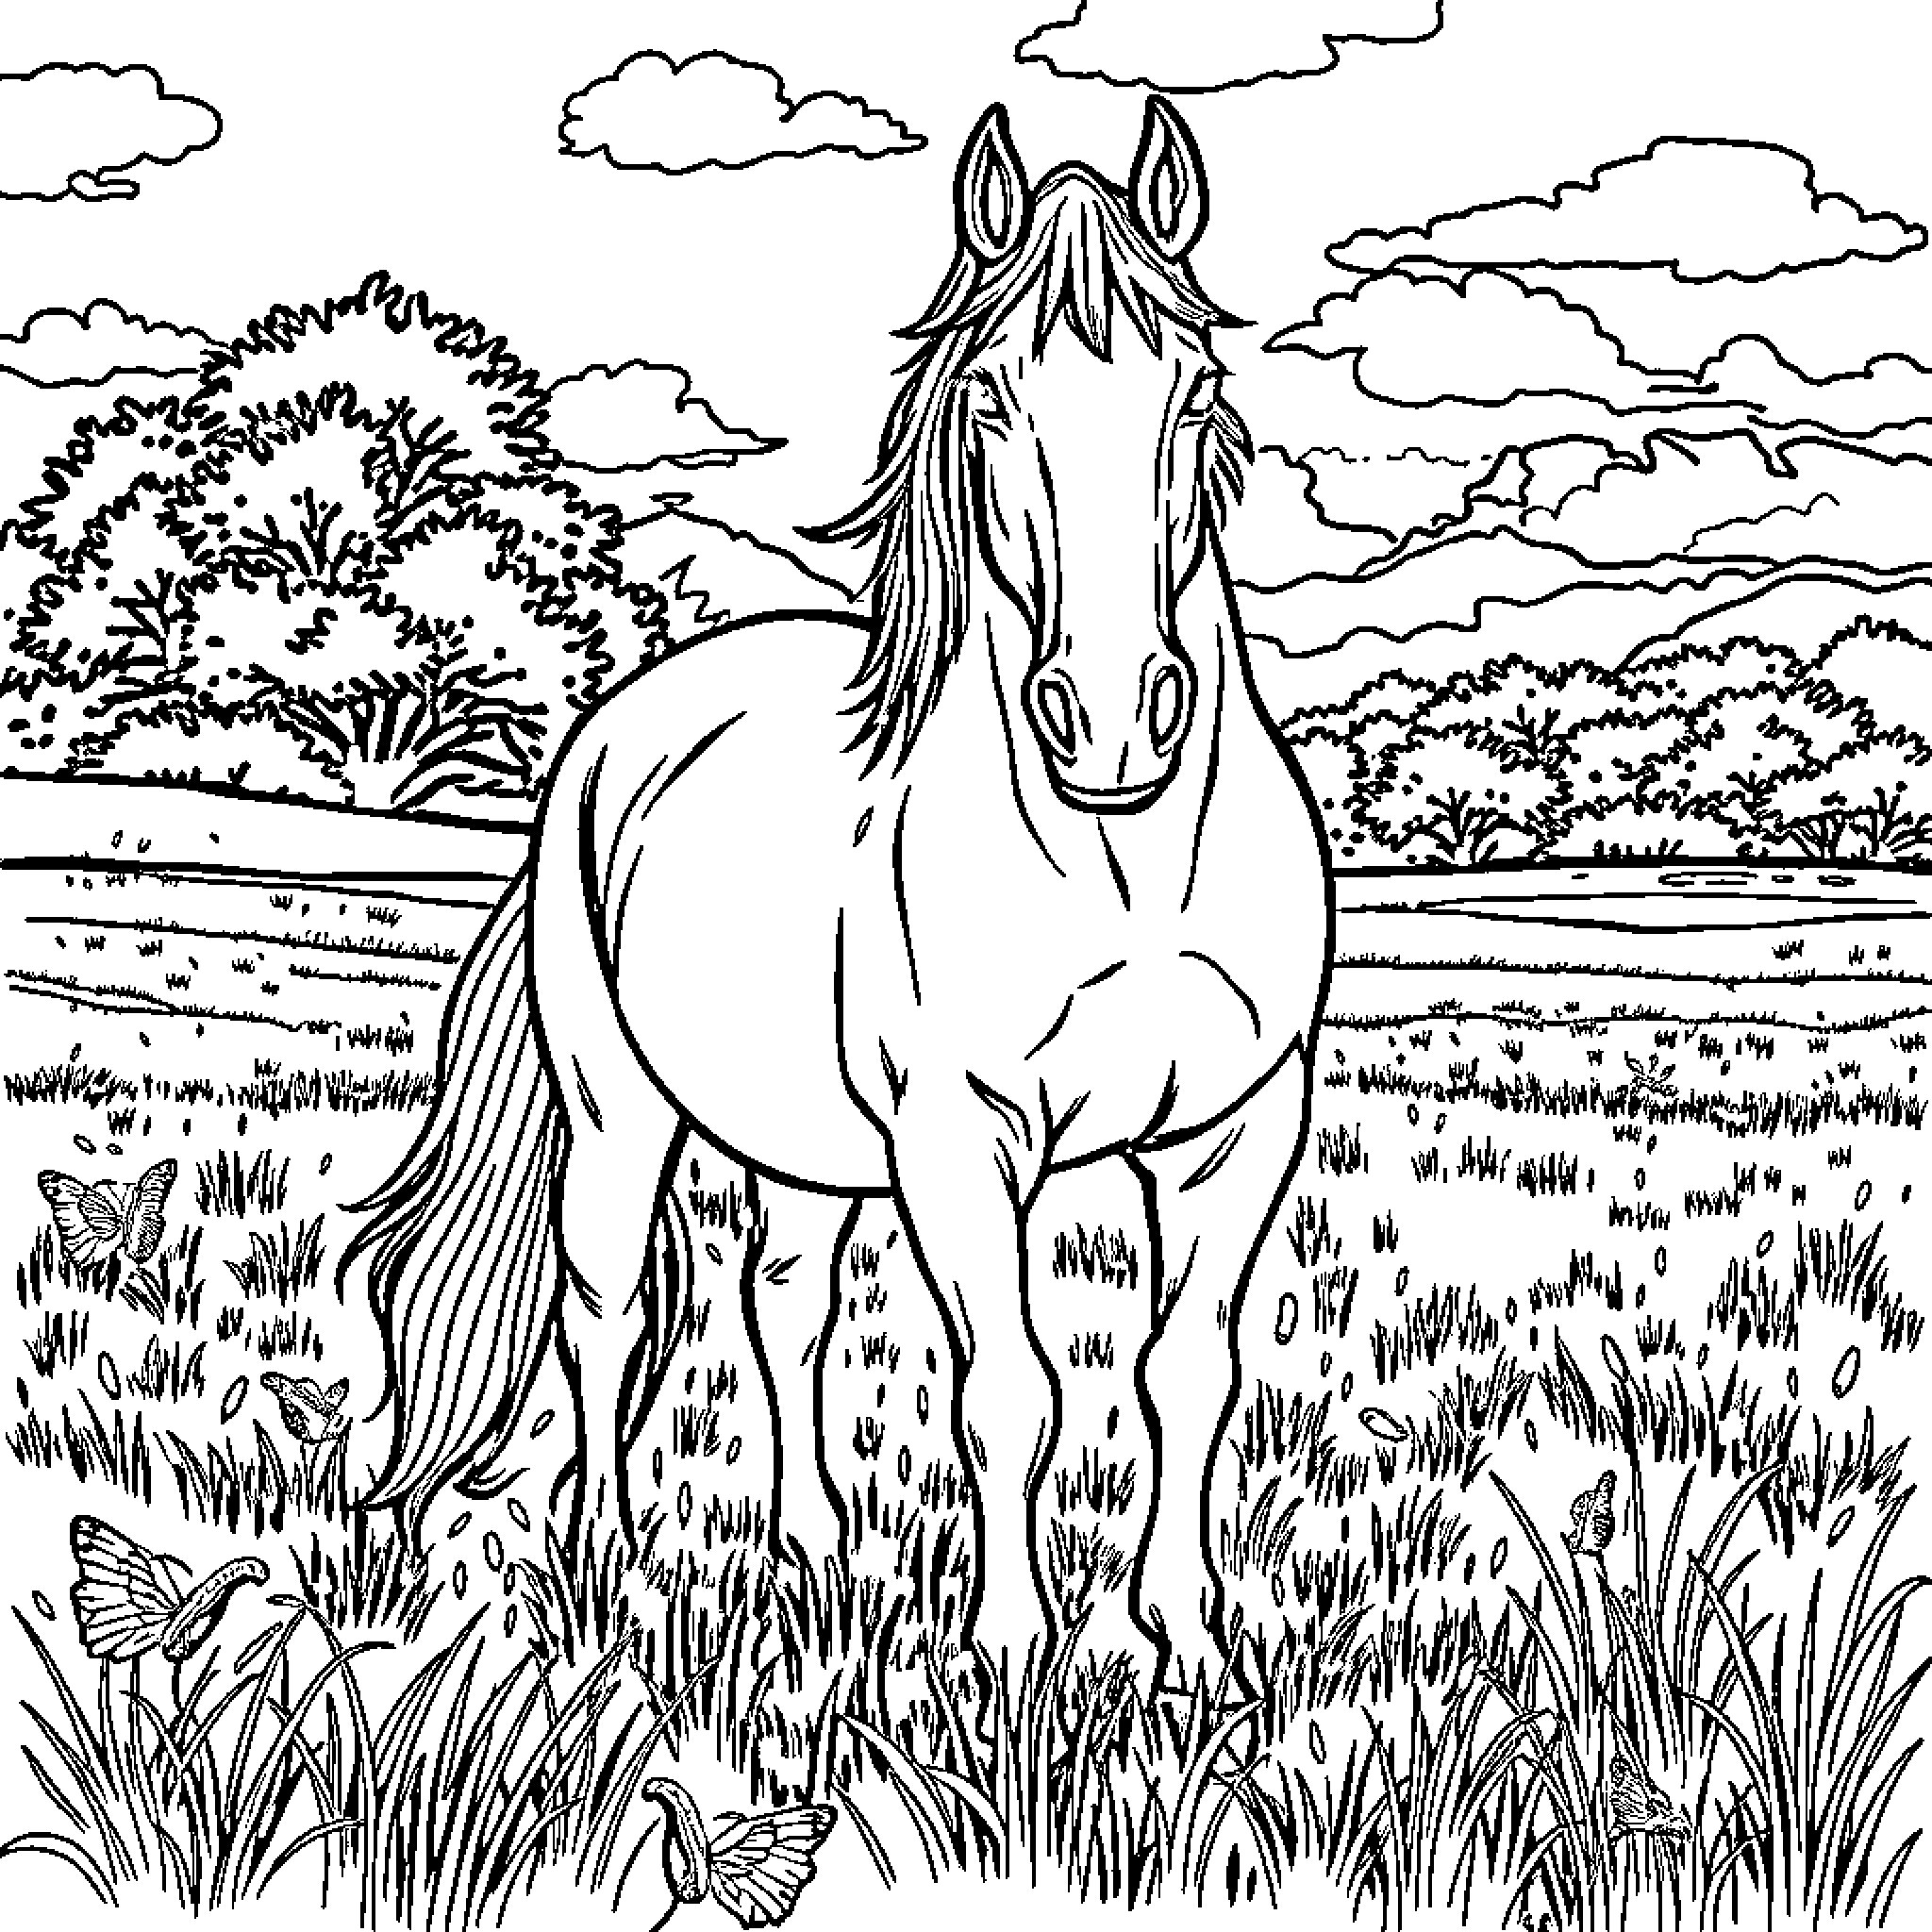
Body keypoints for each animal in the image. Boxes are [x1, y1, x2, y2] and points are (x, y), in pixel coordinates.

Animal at [344, 95, 1334, 1689]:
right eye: (989, 405)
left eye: (1193, 397)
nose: (1115, 724)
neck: (1123, 871)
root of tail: (616, 727)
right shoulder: (961, 1139)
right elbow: (1010, 1390)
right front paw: (1013, 1659)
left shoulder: (1236, 1129)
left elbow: (1189, 1370)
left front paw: (1187, 1643)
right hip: (621, 1112)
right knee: (606, 1315)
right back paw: (611, 1573)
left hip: (806, 1146)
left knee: (785, 1309)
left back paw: (810, 1555)